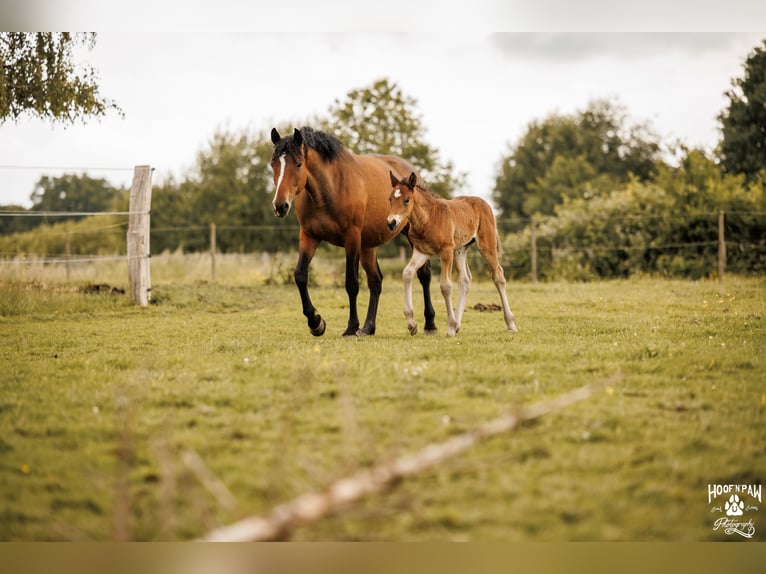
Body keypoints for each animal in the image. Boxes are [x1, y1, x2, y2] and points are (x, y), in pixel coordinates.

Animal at [269, 127, 437, 337]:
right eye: (273, 164)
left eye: (299, 164)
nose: (280, 206)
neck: (330, 189)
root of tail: (414, 176)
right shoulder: (309, 236)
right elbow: (300, 275)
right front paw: (316, 323)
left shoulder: (351, 238)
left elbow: (351, 283)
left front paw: (350, 327)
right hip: (368, 246)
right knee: (376, 281)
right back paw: (368, 327)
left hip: (410, 237)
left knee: (424, 274)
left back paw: (429, 323)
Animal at [387, 171, 518, 337]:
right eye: (390, 199)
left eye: (406, 200)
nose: (391, 222)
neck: (429, 218)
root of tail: (484, 203)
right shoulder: (421, 251)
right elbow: (407, 273)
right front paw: (412, 324)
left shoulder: (446, 251)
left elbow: (446, 286)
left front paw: (449, 327)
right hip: (460, 249)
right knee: (465, 279)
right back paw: (457, 324)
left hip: (486, 245)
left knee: (498, 275)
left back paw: (510, 324)